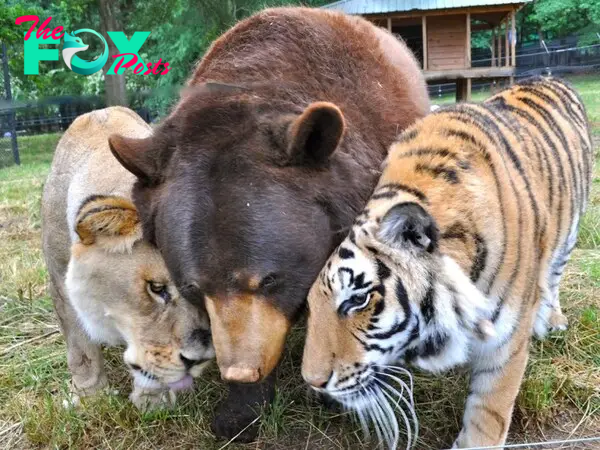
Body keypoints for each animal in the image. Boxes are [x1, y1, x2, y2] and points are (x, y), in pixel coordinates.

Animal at [302, 76, 592, 446]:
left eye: (358, 299)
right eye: (311, 305)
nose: (312, 382)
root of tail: (549, 76)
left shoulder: (506, 342)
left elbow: (488, 414)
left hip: (569, 235)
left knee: (553, 277)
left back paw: (552, 320)